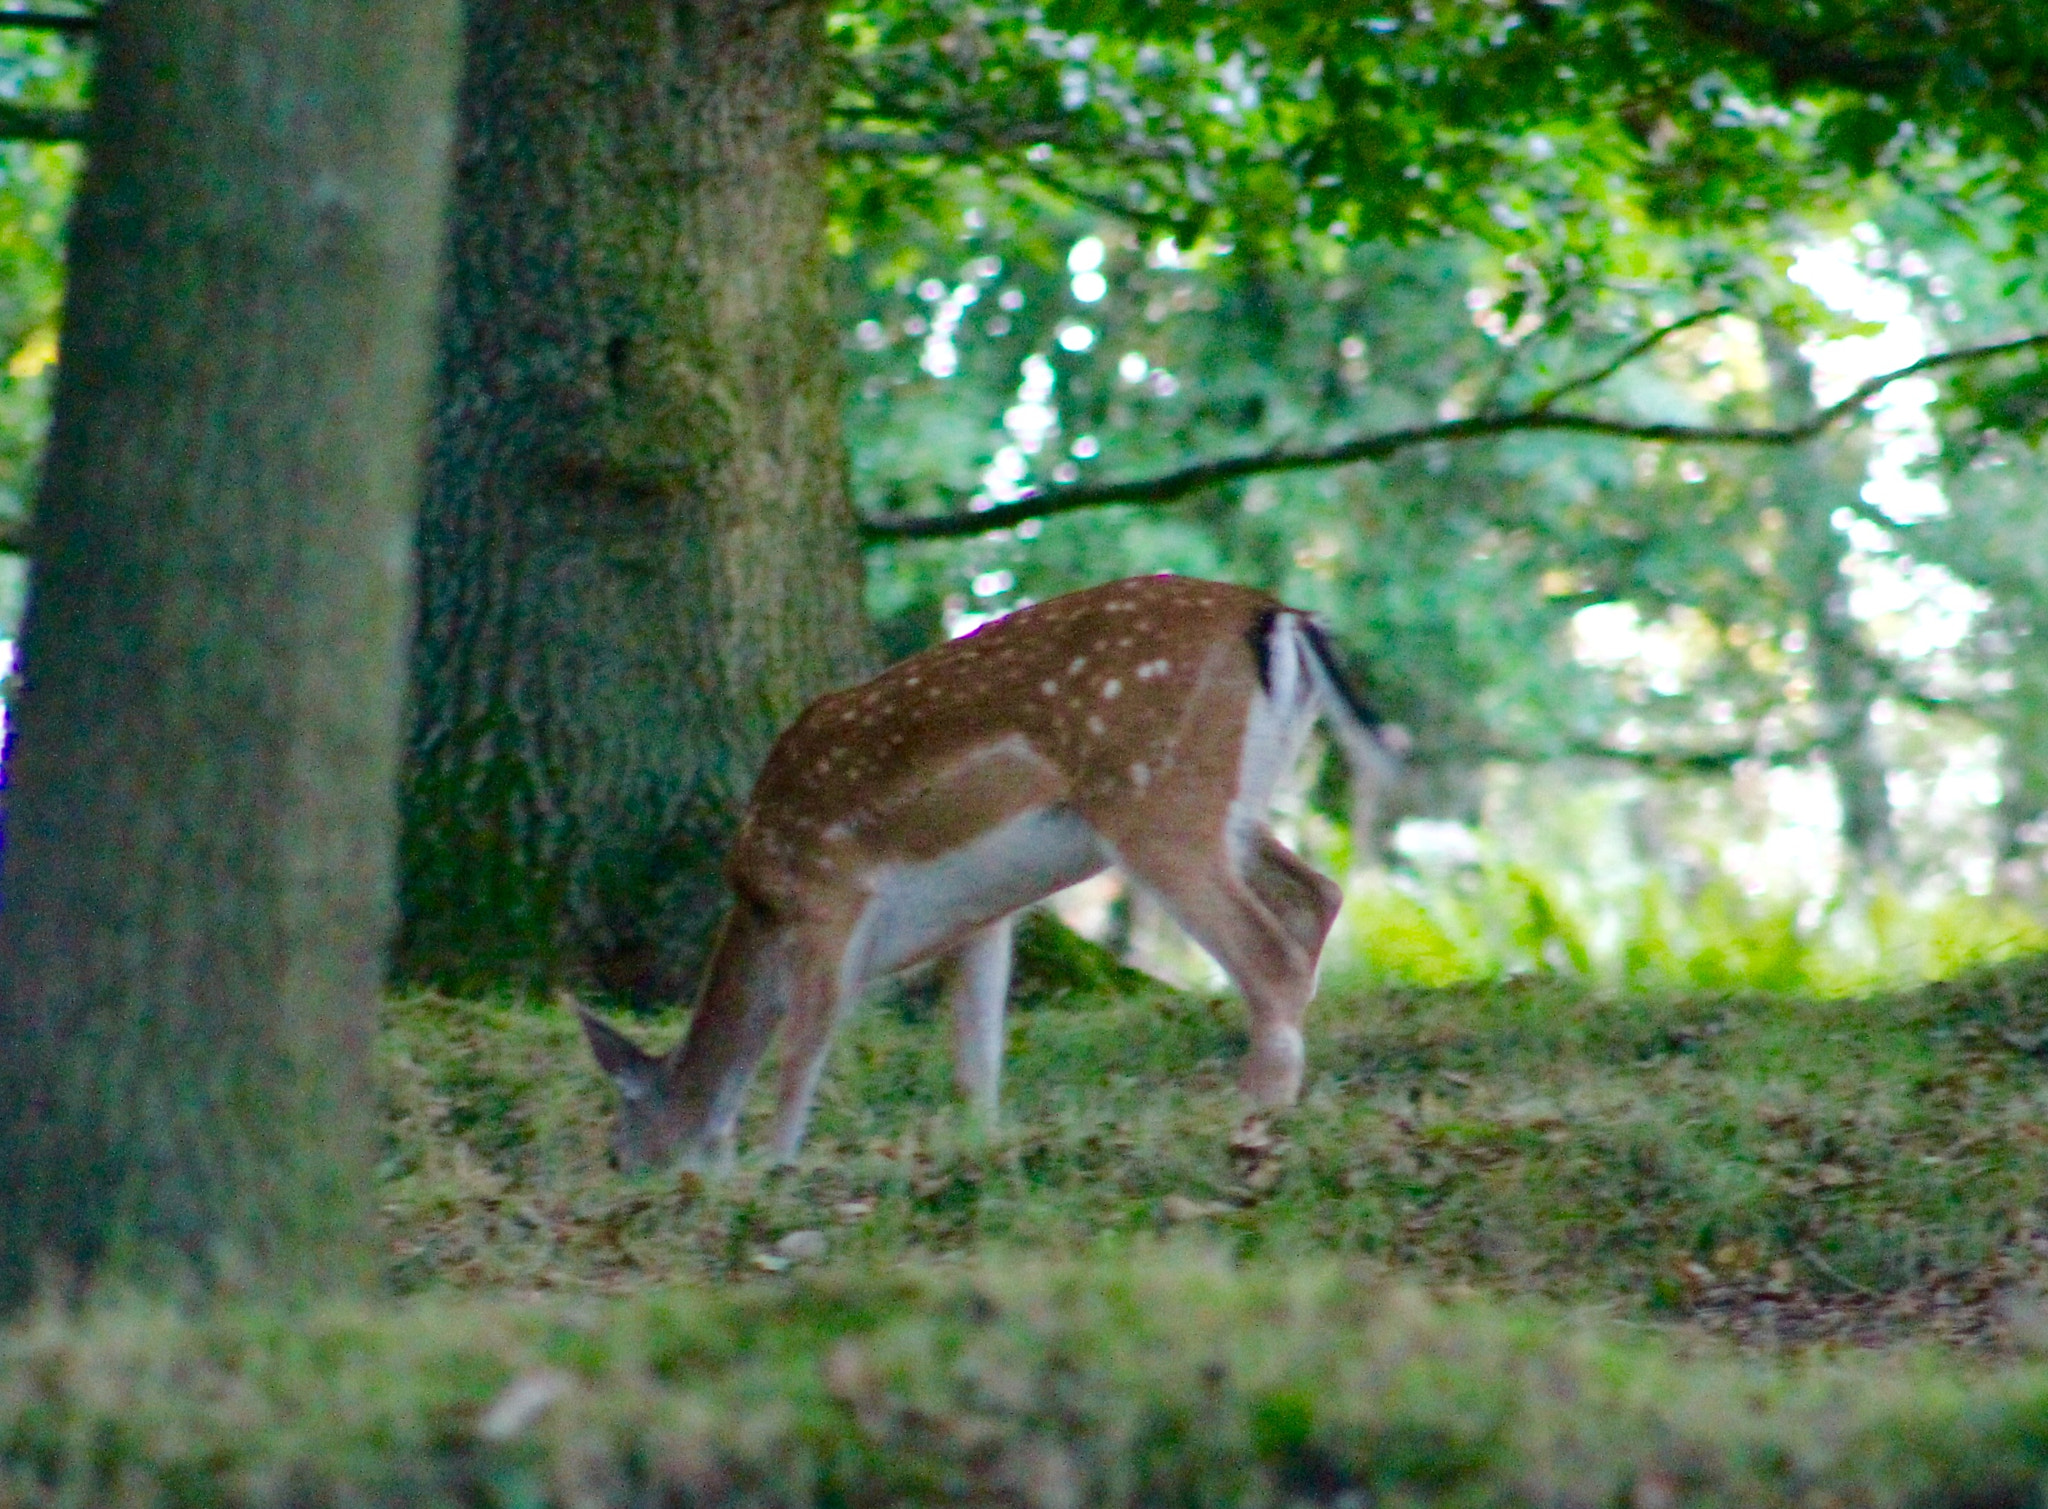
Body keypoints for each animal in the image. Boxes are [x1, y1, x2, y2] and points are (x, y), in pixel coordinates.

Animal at [577, 573, 1404, 1173]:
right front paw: (980, 1145)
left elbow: (803, 1049)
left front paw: (776, 1167)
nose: (631, 1173)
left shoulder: (827, 894)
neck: (759, 905)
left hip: (1155, 800)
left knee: (1268, 951)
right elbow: (974, 1056)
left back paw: (1253, 1116)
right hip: (1231, 805)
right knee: (1319, 893)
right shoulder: (981, 915)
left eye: (617, 1149)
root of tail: (1280, 615)